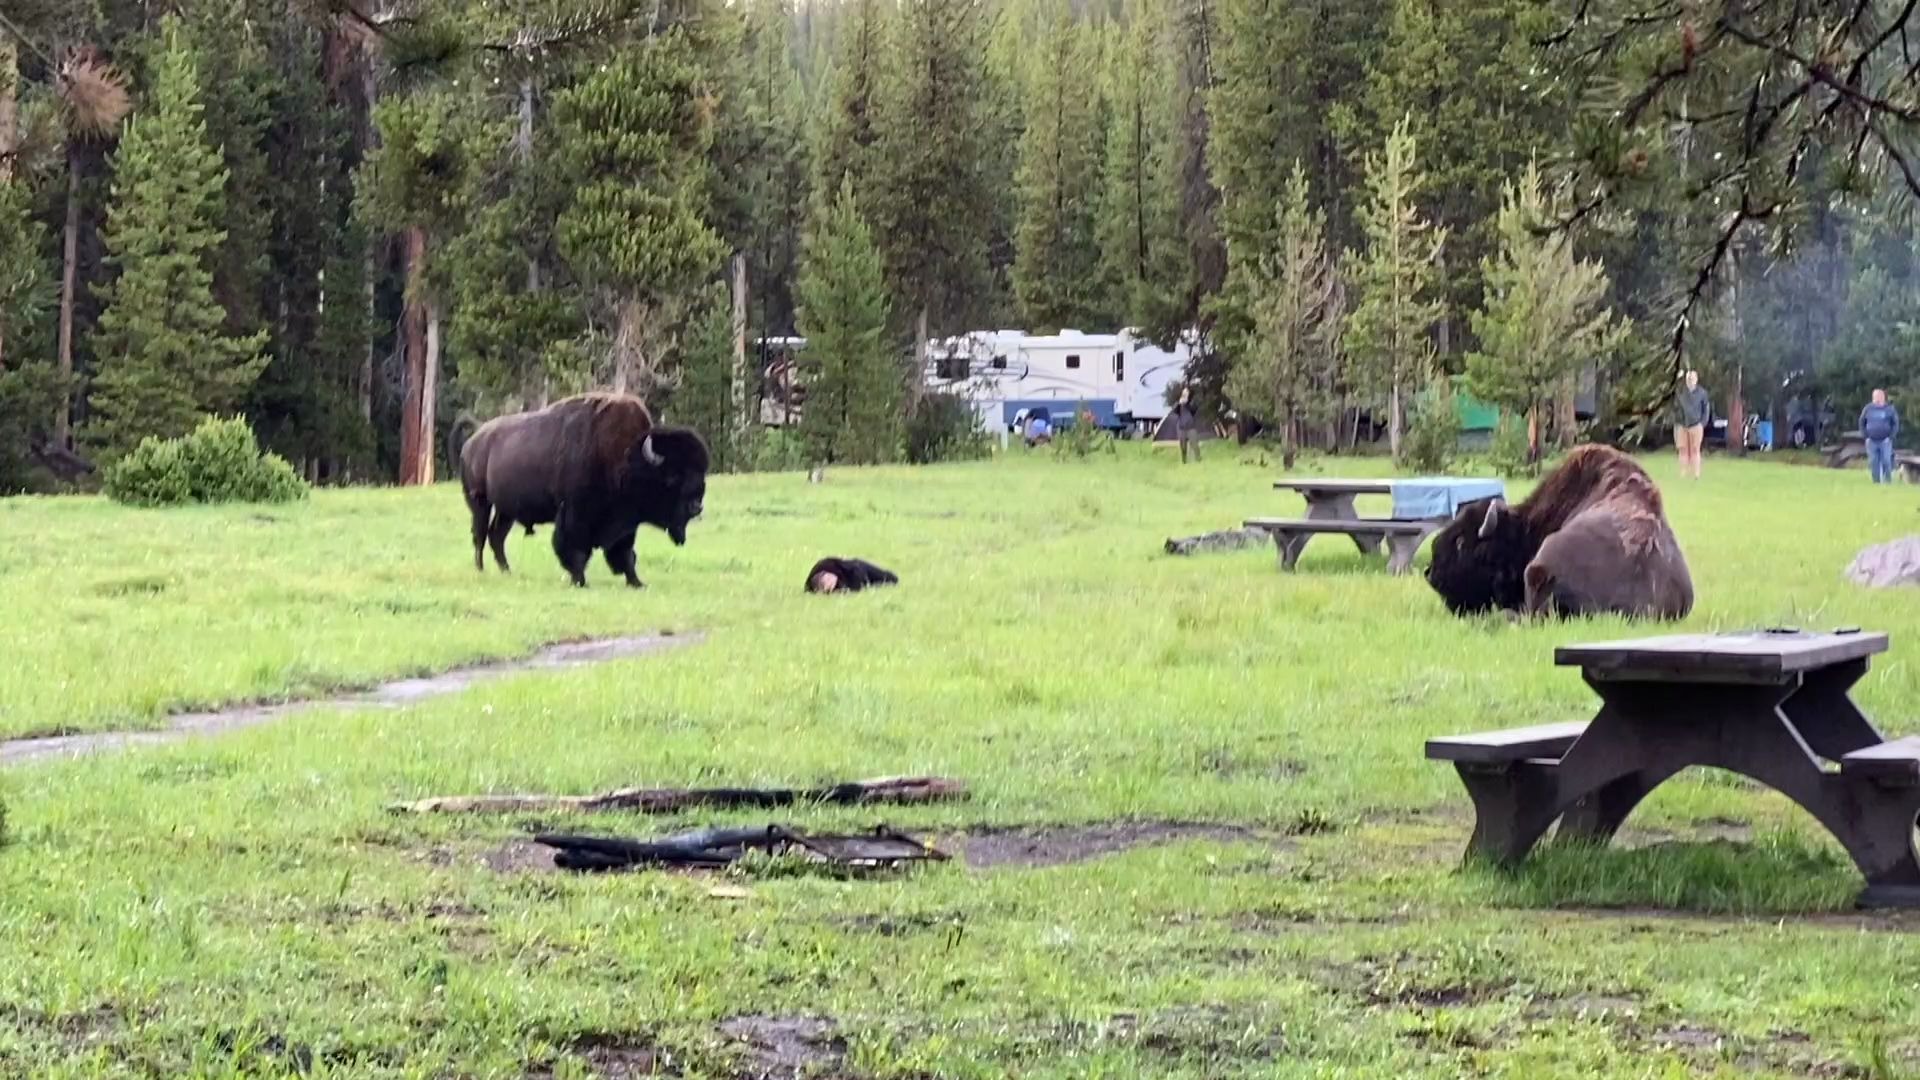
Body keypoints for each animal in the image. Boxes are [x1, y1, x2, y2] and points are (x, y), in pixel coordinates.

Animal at [458, 390, 714, 584]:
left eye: (700, 473)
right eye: (672, 478)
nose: (696, 507)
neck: (626, 456)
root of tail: (471, 443)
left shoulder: (625, 523)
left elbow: (625, 554)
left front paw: (637, 582)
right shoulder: (574, 515)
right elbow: (576, 551)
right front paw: (580, 581)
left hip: (506, 511)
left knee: (496, 536)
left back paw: (507, 571)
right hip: (480, 502)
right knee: (480, 535)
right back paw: (481, 570)